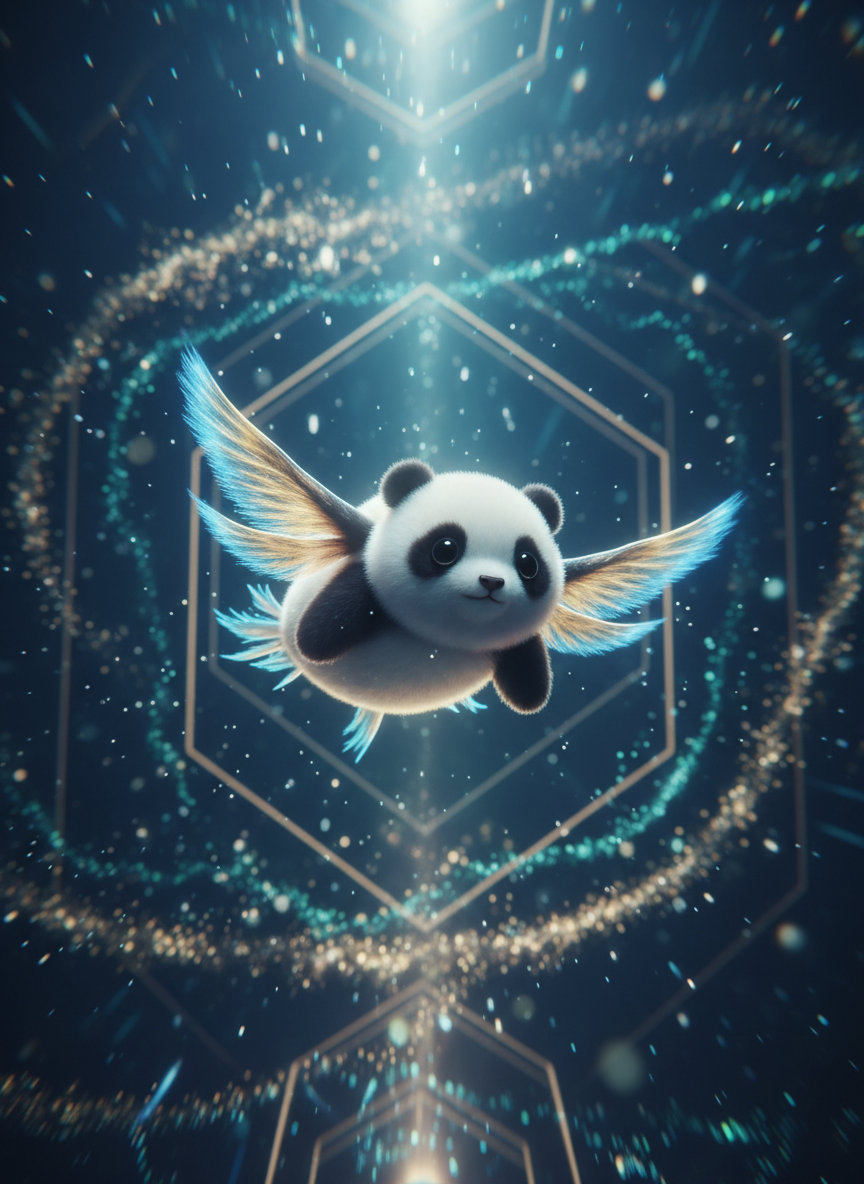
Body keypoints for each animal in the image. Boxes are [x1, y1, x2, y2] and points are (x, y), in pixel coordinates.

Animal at [180, 348, 742, 759]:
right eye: (445, 549)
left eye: (528, 564)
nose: (491, 583)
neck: (439, 634)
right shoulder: (361, 569)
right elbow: (321, 631)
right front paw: (321, 637)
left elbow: (530, 687)